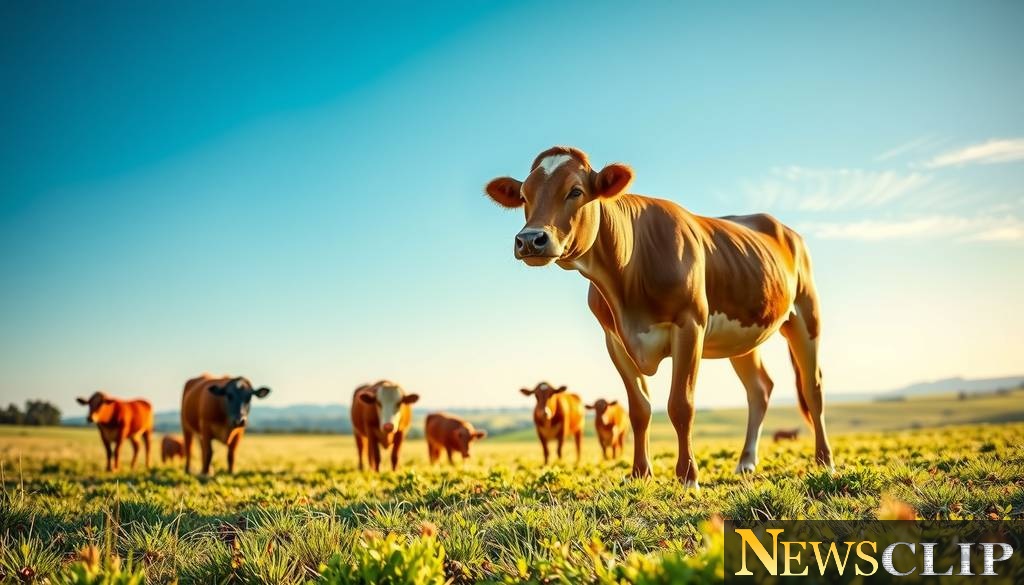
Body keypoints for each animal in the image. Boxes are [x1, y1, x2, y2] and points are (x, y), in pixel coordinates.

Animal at [485, 146, 834, 488]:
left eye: (575, 190)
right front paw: (640, 472)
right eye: (524, 195)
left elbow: (681, 405)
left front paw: (688, 476)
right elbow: (639, 409)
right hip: (744, 336)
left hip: (806, 315)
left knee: (813, 387)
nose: (530, 239)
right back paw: (746, 462)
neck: (628, 272)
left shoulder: (690, 325)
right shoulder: (614, 340)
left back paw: (824, 460)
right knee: (759, 389)